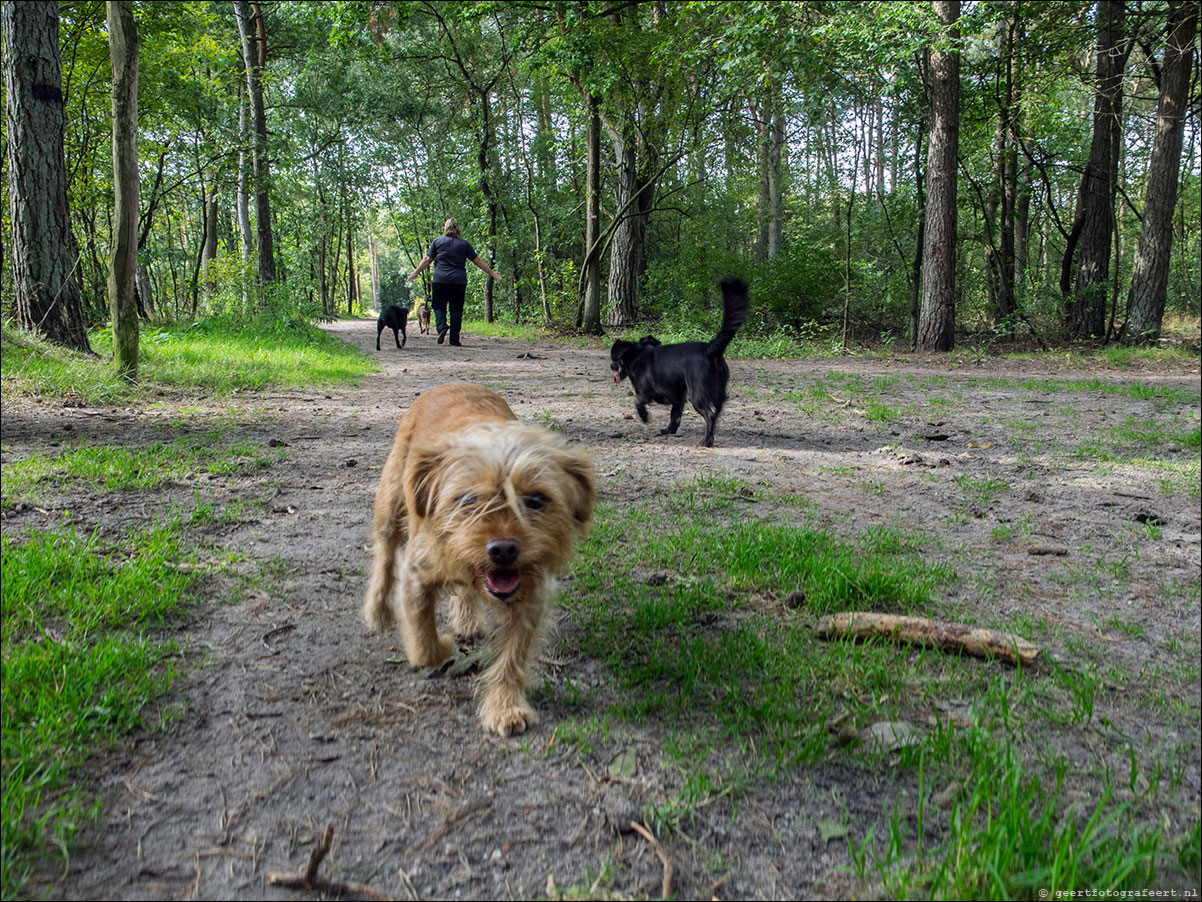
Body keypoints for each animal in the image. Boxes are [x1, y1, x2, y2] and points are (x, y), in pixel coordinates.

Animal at [363, 382, 593, 736]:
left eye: (536, 500)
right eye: (469, 500)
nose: (503, 549)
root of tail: (452, 382)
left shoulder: (530, 597)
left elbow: (512, 656)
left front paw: (505, 707)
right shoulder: (417, 573)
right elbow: (423, 641)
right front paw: (441, 648)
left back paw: (468, 620)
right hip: (390, 502)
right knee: (385, 555)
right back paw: (377, 611)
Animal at [615, 275, 745, 444]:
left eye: (616, 361)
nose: (611, 366)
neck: (638, 355)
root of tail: (709, 349)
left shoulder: (645, 393)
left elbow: (638, 402)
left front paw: (644, 417)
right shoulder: (678, 399)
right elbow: (674, 416)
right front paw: (669, 430)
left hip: (697, 394)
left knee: (709, 415)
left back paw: (706, 442)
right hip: (718, 393)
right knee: (716, 413)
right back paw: (710, 437)